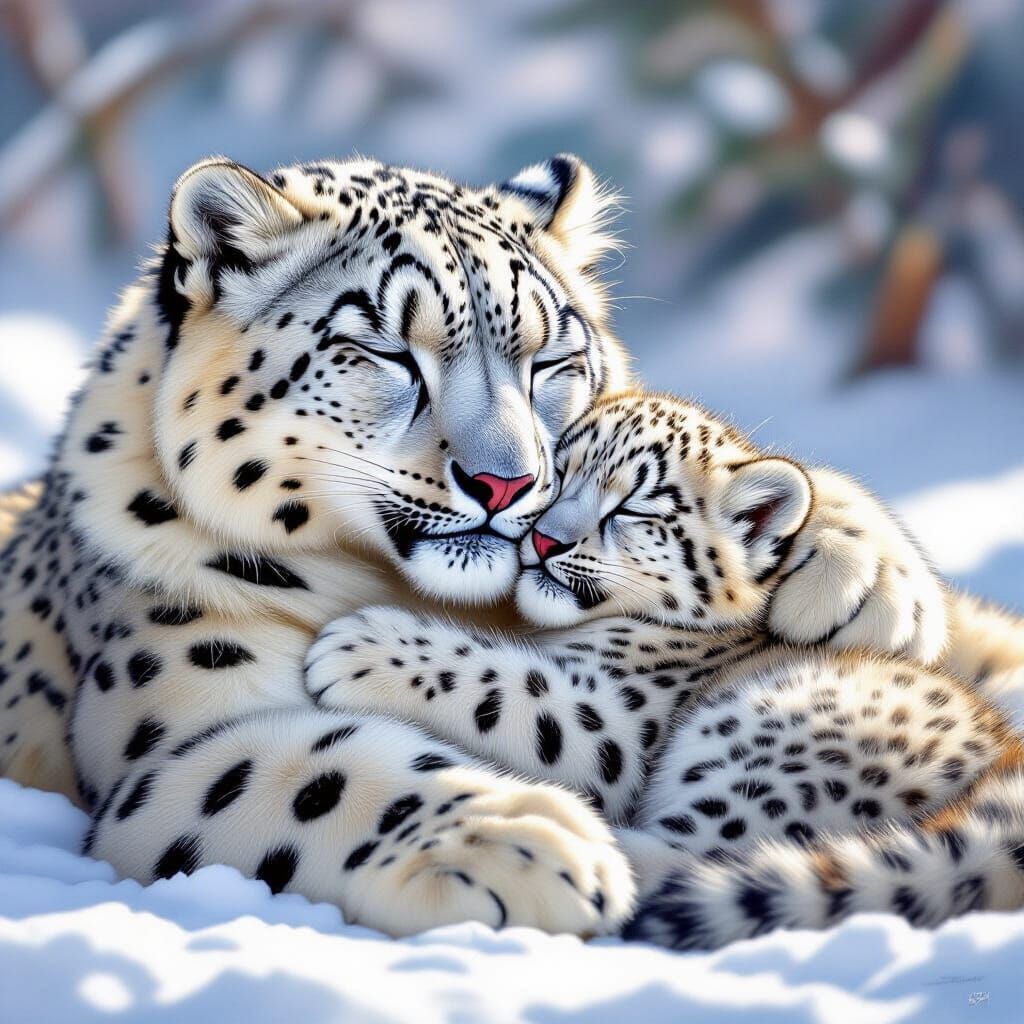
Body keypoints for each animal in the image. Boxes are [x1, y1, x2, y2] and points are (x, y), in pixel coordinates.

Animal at [306, 391, 1024, 948]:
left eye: (634, 508)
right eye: (556, 476)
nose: (544, 538)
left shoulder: (614, 722)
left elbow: (510, 685)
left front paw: (355, 649)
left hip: (769, 746)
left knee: (686, 857)